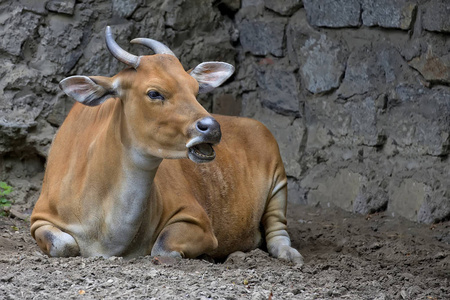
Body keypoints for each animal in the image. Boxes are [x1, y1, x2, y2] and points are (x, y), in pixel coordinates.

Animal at [29, 27, 304, 264]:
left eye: (195, 89)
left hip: (279, 184)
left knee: (278, 230)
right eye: (154, 93)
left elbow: (162, 247)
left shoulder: (197, 221)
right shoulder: (39, 221)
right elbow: (64, 244)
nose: (211, 128)